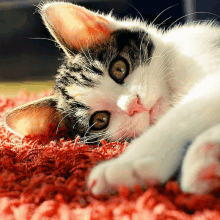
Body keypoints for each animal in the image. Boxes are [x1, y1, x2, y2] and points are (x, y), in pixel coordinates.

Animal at [3, 1, 220, 194]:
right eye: (100, 120)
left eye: (119, 68)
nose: (134, 105)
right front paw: (208, 159)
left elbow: (187, 112)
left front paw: (128, 164)